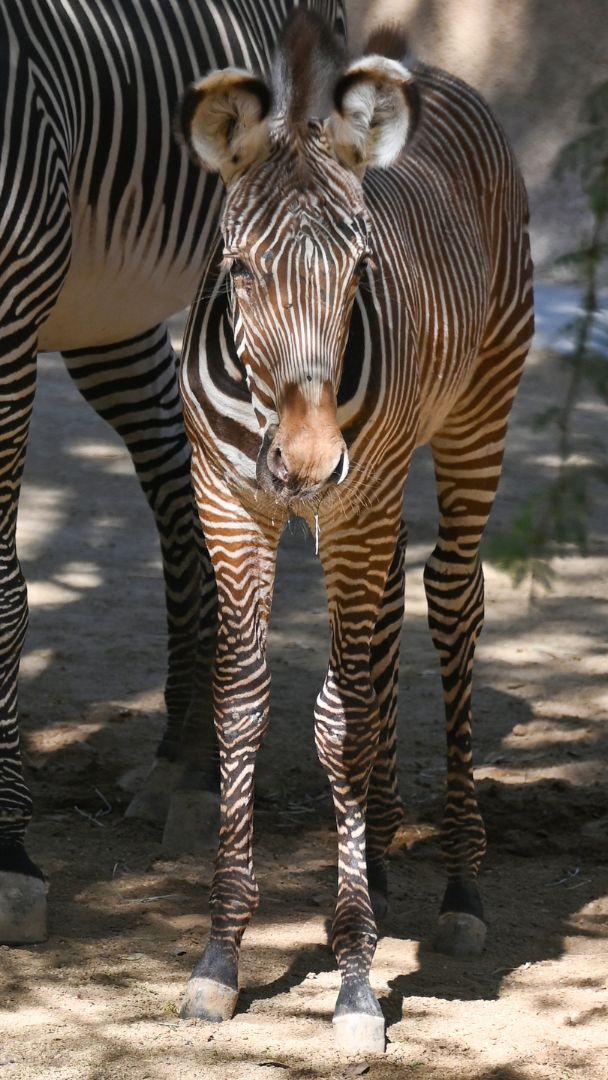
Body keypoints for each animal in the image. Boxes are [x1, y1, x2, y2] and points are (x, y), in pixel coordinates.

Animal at [0, 0, 346, 946]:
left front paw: (9, 854)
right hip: (104, 308)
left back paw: (190, 772)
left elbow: (3, 594)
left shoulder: (8, 322)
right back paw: (183, 759)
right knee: (175, 472)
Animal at [176, 9, 534, 1054]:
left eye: (356, 271)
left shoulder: (350, 504)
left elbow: (340, 719)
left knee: (450, 601)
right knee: (380, 632)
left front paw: (357, 979)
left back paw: (459, 885)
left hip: (473, 415)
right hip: (379, 487)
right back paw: (371, 848)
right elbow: (243, 701)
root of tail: (422, 69)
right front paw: (221, 955)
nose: (305, 462)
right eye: (240, 269)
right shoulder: (229, 503)